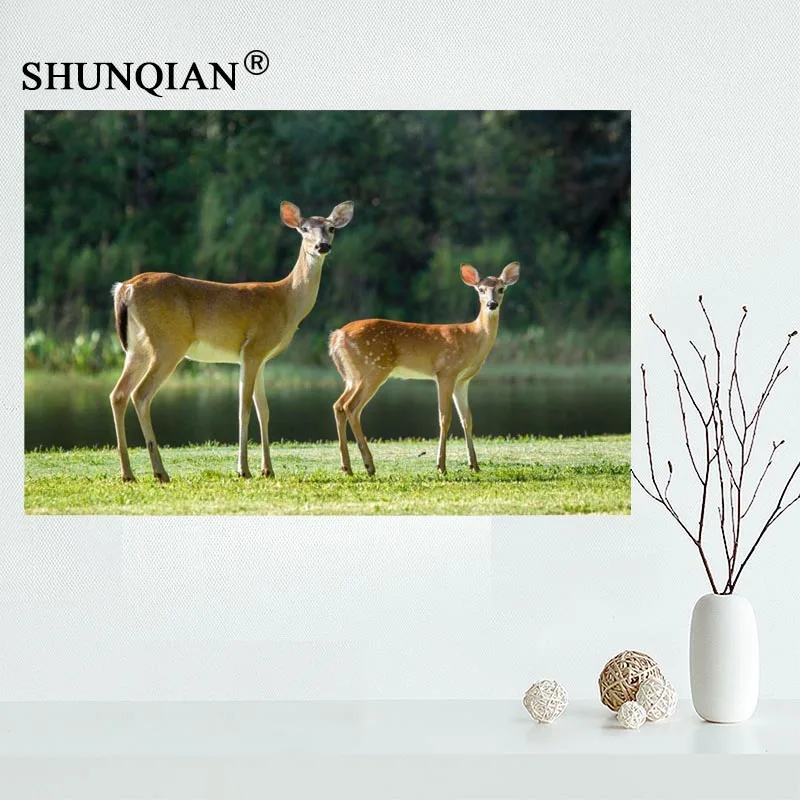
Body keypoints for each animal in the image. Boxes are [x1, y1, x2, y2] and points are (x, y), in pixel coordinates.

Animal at [109, 200, 354, 483]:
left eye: (331, 228)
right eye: (303, 229)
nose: (322, 246)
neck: (286, 300)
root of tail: (124, 288)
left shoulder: (261, 359)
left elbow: (264, 410)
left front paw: (267, 469)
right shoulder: (252, 349)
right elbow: (244, 408)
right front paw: (244, 469)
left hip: (136, 348)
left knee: (118, 393)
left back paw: (128, 473)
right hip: (168, 343)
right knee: (140, 394)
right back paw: (160, 472)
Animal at [329, 261, 520, 476]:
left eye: (501, 289)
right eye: (481, 290)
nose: (492, 304)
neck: (473, 338)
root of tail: (336, 336)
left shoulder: (463, 380)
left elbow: (467, 418)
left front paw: (474, 465)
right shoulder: (446, 372)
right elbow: (444, 418)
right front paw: (441, 466)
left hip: (353, 376)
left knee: (338, 405)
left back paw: (347, 467)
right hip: (373, 369)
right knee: (351, 407)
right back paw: (368, 465)